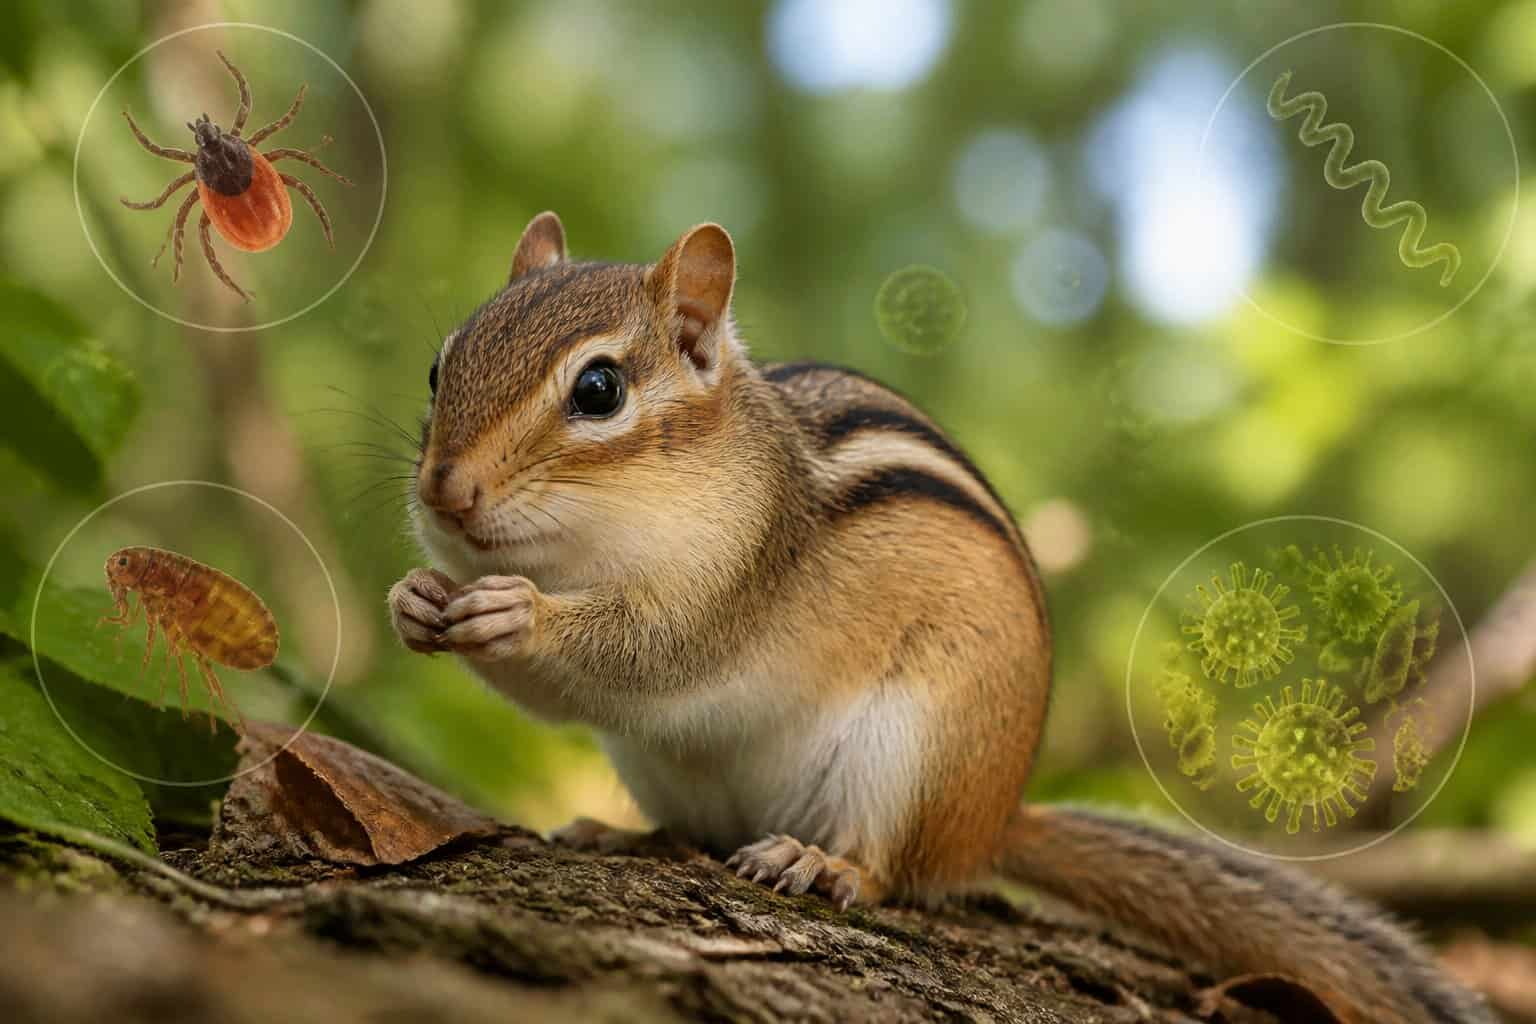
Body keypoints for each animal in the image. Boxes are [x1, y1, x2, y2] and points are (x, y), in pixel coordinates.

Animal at [387, 211, 1491, 1024]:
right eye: (439, 367)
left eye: (599, 389)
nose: (445, 491)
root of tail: (996, 815)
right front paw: (414, 598)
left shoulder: (730, 583)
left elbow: (640, 655)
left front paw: (517, 614)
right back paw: (620, 832)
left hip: (915, 747)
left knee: (891, 870)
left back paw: (818, 859)